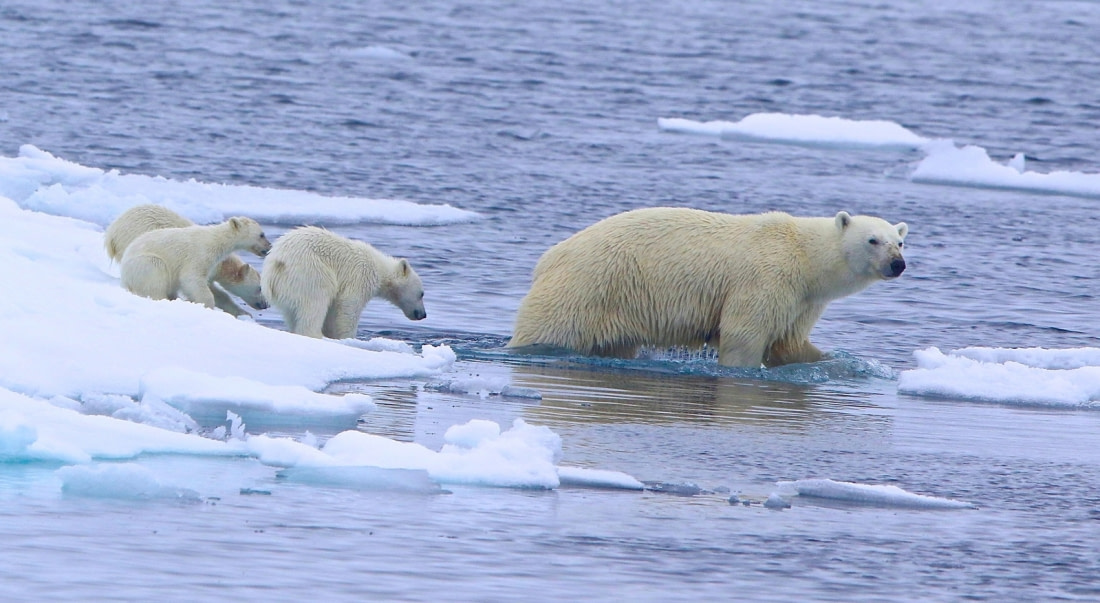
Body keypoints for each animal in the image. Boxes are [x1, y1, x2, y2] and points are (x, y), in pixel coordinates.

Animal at [510, 206, 906, 367]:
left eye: (900, 242)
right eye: (873, 240)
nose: (897, 264)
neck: (804, 257)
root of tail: (548, 259)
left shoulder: (800, 301)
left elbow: (788, 344)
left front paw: (836, 361)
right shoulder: (765, 279)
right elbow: (743, 336)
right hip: (586, 286)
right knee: (549, 329)